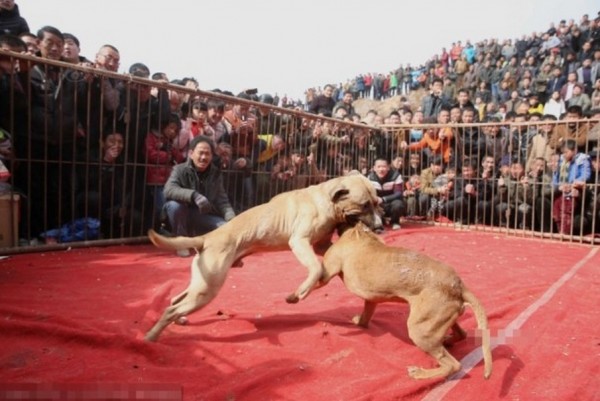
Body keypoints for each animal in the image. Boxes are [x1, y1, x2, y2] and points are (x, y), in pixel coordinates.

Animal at [145, 173, 380, 340]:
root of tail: (207, 237)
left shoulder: (320, 246)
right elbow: (315, 268)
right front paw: (300, 293)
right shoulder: (299, 241)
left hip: (201, 283)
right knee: (171, 309)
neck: (326, 200)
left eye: (377, 202)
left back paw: (179, 320)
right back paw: (150, 338)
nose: (380, 226)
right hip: (207, 289)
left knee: (175, 300)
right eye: (364, 205)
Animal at [318, 223, 492, 380]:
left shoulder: (325, 274)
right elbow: (365, 317)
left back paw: (421, 374)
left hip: (419, 330)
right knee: (461, 334)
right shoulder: (371, 300)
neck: (363, 235)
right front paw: (358, 321)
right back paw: (447, 341)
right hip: (438, 319)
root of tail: (459, 284)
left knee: (453, 365)